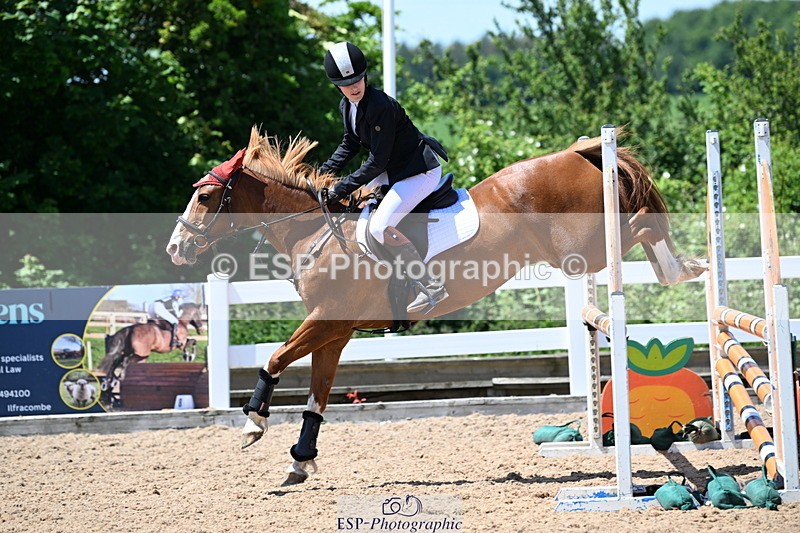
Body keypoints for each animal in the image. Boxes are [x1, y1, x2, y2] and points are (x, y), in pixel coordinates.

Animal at [166, 127, 705, 485]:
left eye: (206, 197)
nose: (176, 249)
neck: (314, 232)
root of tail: (573, 155)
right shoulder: (334, 331)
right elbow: (317, 394)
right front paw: (300, 458)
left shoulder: (324, 320)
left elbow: (275, 358)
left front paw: (253, 423)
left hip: (584, 250)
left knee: (643, 221)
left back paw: (683, 267)